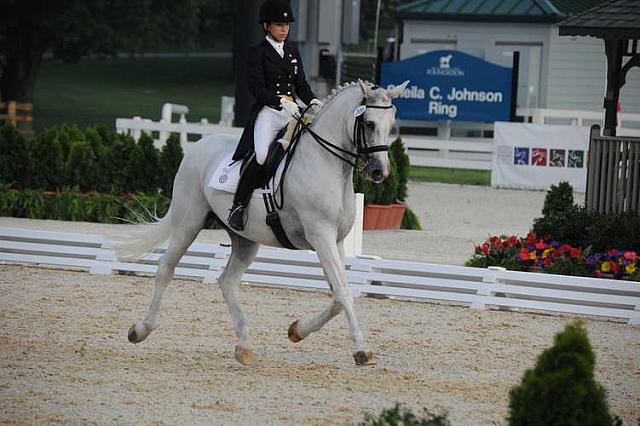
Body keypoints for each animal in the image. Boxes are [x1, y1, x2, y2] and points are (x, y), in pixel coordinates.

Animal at [117, 80, 410, 366]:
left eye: (391, 124)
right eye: (369, 124)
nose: (379, 171)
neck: (326, 163)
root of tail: (199, 145)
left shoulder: (335, 240)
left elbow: (338, 295)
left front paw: (297, 330)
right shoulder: (321, 236)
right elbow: (343, 291)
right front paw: (362, 350)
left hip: (244, 239)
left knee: (227, 282)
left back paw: (243, 346)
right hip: (188, 221)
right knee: (166, 267)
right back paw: (140, 330)